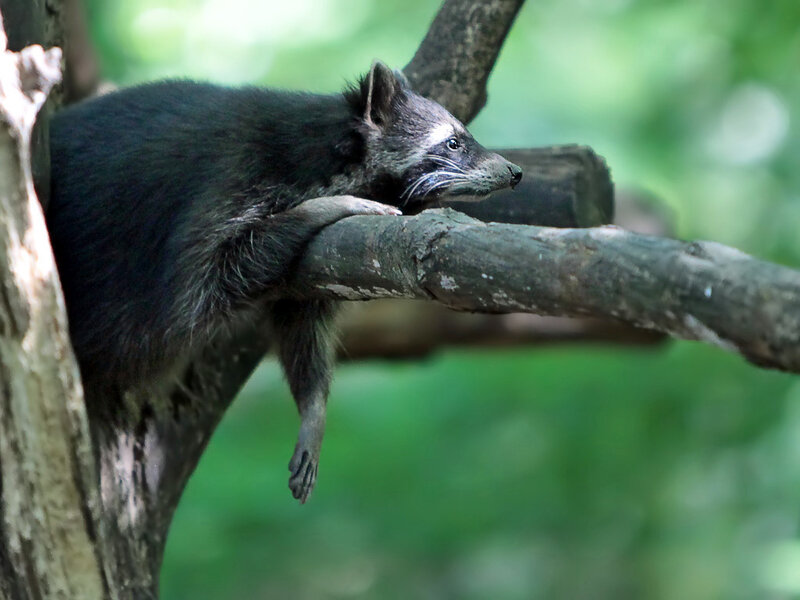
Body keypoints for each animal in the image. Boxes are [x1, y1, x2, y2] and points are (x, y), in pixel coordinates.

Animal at [47, 61, 522, 503]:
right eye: (453, 142)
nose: (515, 172)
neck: (329, 147)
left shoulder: (319, 264)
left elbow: (301, 322)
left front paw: (313, 406)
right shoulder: (233, 180)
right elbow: (203, 282)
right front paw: (326, 206)